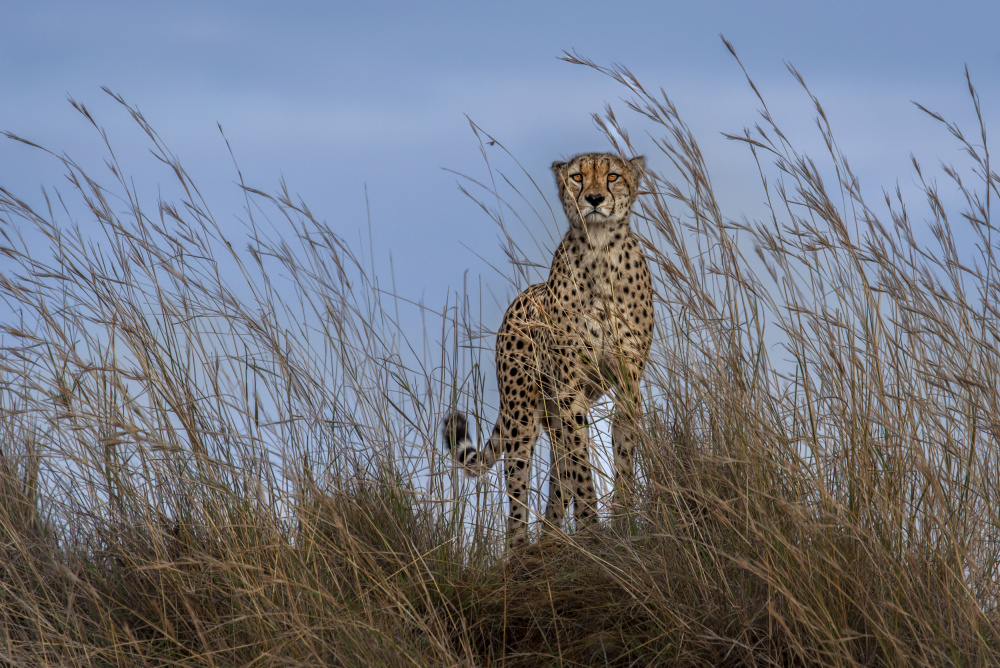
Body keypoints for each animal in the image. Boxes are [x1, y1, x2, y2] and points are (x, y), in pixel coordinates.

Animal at [442, 153, 652, 548]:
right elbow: (581, 466)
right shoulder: (570, 388)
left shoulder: (628, 382)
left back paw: (553, 539)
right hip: (522, 415)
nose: (595, 199)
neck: (600, 249)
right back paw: (521, 548)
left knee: (557, 475)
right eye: (578, 177)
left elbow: (622, 456)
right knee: (519, 484)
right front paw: (591, 529)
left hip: (550, 412)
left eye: (613, 176)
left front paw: (623, 523)